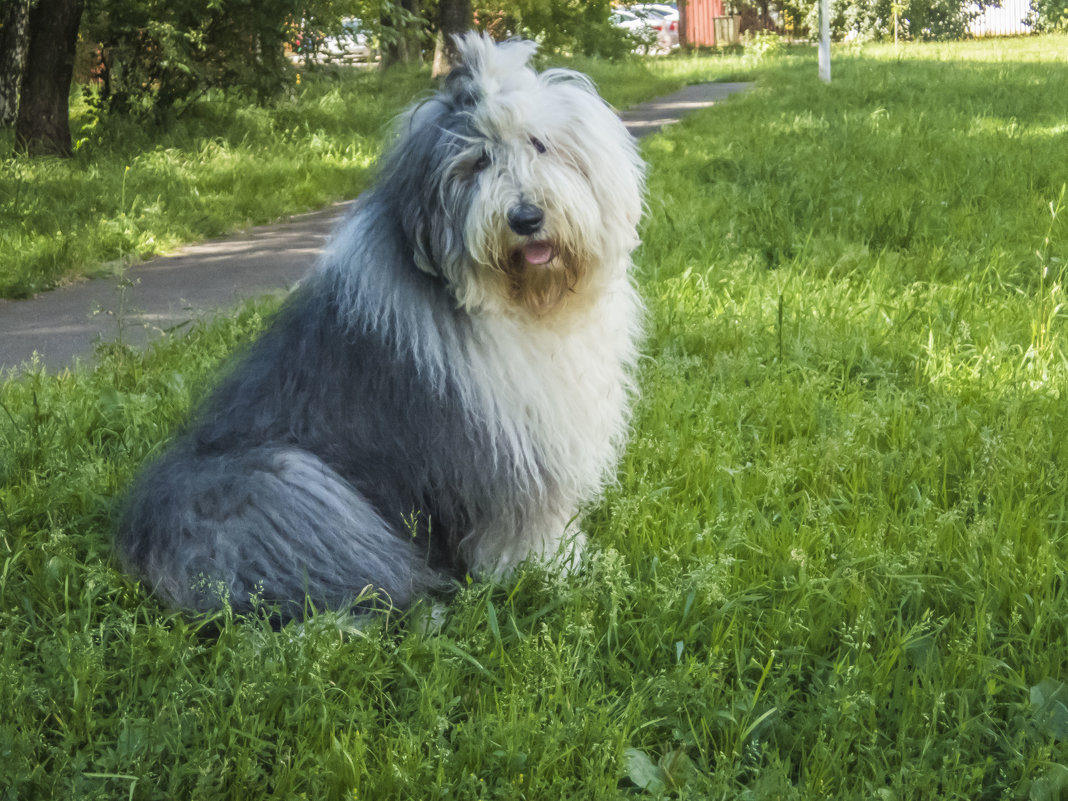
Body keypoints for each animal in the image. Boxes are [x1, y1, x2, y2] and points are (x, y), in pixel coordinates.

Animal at [121, 32, 645, 619]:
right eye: (476, 162)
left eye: (540, 144)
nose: (526, 218)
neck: (527, 304)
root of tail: (149, 538)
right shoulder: (494, 447)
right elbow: (521, 520)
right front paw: (554, 569)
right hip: (286, 483)